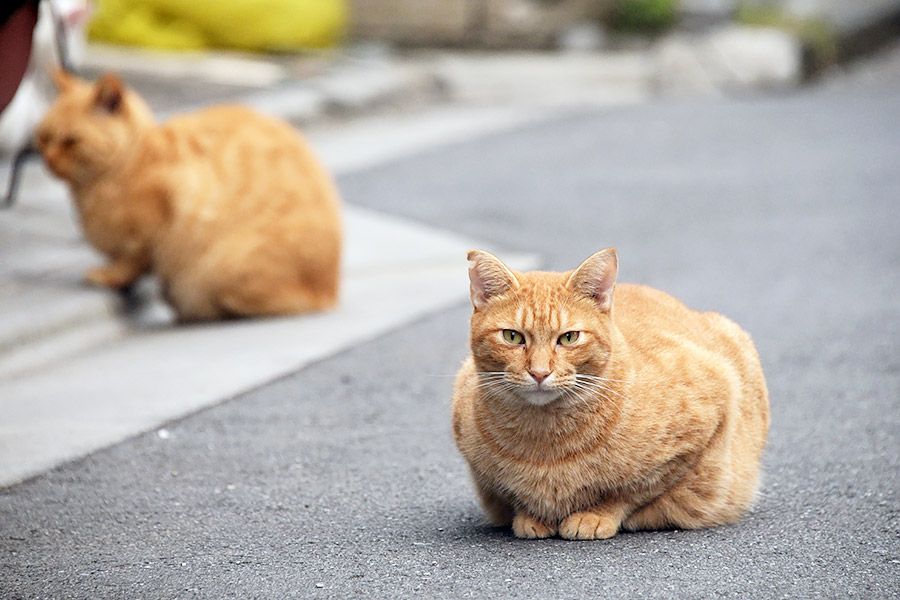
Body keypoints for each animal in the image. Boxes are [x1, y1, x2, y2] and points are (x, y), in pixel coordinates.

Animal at [35, 71, 342, 322]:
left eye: (71, 141)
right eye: (44, 137)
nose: (48, 160)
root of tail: (330, 292)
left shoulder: (158, 222)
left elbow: (131, 261)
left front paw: (108, 276)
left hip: (225, 268)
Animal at [454, 248, 768, 540]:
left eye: (569, 338)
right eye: (512, 337)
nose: (540, 373)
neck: (543, 442)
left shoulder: (709, 410)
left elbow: (630, 491)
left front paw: (595, 514)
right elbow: (511, 495)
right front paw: (530, 516)